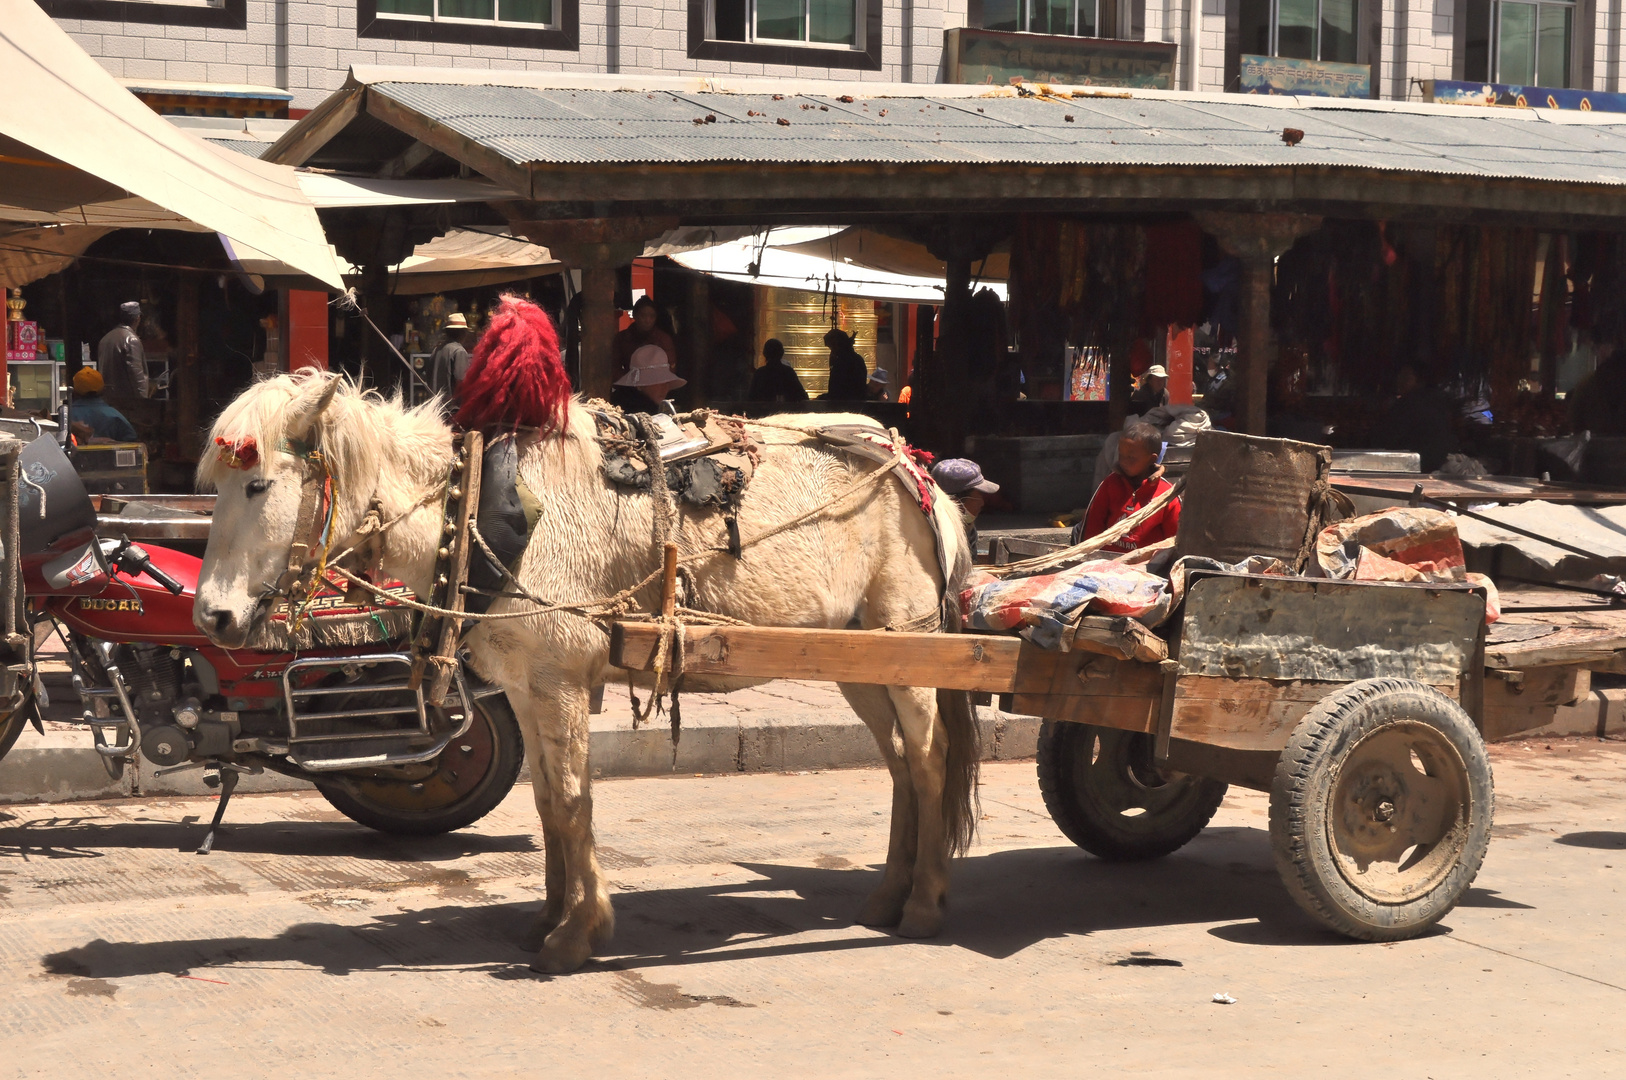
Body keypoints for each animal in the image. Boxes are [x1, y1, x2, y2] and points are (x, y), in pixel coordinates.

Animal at [190, 367, 975, 975]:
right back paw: (887, 896)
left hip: (908, 641)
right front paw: (548, 918)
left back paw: (925, 903)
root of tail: (916, 469)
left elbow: (571, 802)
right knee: (900, 763)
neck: (477, 510)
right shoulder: (524, 687)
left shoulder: (560, 681)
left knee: (929, 758)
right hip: (860, 657)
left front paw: (575, 936)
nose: (213, 617)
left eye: (258, 486)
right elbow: (546, 803)